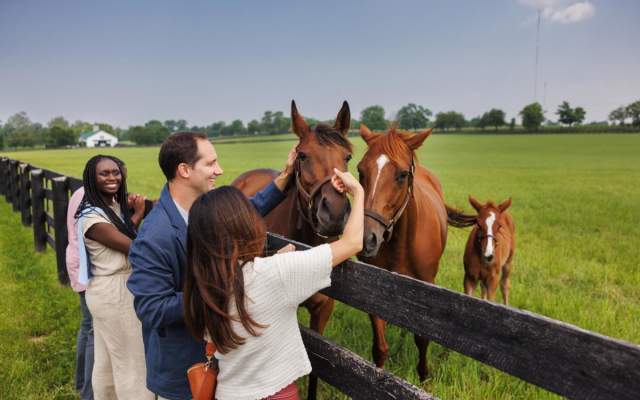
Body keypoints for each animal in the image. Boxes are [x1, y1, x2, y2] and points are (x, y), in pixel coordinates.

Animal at [356, 125, 475, 381]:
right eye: (360, 171)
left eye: (402, 175)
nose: (366, 238)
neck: (401, 244)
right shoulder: (372, 287)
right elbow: (380, 346)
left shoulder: (425, 286)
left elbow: (422, 338)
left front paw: (423, 377)